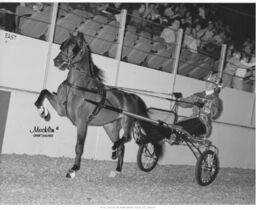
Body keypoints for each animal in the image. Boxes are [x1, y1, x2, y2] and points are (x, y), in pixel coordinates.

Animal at [34, 31, 150, 179]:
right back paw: (116, 168)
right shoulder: (61, 109)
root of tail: (130, 96)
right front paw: (43, 111)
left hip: (126, 121)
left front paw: (73, 169)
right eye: (63, 45)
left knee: (126, 137)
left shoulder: (82, 122)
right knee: (121, 145)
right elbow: (44, 92)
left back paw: (114, 152)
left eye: (75, 47)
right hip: (110, 127)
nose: (57, 61)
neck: (77, 87)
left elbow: (79, 146)